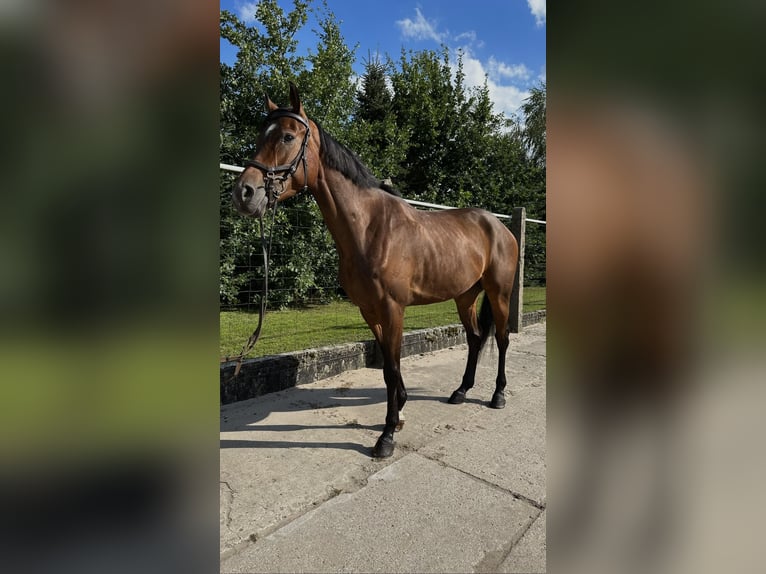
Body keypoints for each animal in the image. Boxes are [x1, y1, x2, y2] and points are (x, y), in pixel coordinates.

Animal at [232, 83, 520, 460]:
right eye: (259, 136)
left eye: (287, 136)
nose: (244, 193)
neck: (370, 228)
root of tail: (500, 227)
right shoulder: (369, 311)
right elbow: (387, 365)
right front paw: (399, 412)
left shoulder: (392, 308)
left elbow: (392, 368)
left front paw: (386, 435)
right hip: (465, 296)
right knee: (474, 338)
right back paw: (460, 391)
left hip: (499, 293)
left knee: (500, 338)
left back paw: (498, 395)